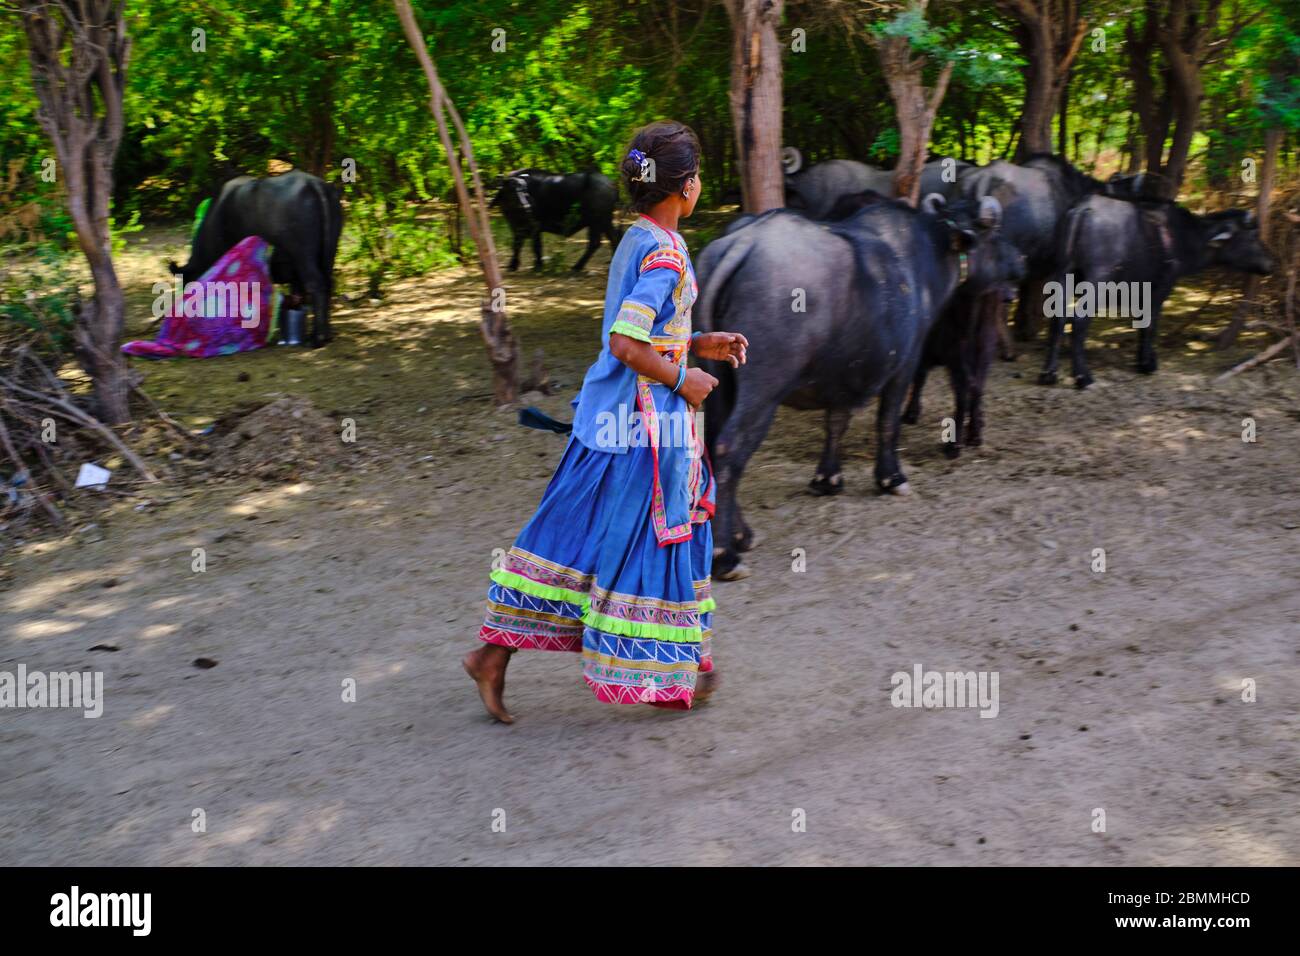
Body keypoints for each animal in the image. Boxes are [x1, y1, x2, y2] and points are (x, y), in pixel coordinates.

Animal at [170, 169, 343, 348]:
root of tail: (313, 183)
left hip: (303, 256)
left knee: (316, 285)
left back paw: (317, 339)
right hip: (327, 254)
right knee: (328, 284)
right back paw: (326, 335)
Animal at [491, 167, 624, 270]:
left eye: (524, 190)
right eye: (512, 190)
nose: (526, 207)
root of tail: (611, 185)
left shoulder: (535, 226)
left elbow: (535, 246)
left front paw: (538, 265)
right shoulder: (515, 226)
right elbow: (517, 244)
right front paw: (513, 265)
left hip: (597, 221)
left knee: (596, 242)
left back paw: (577, 266)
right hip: (604, 221)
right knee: (612, 238)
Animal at [696, 192, 1019, 574]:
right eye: (994, 235)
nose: (1020, 261)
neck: (928, 253)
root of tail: (744, 242)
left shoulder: (843, 373)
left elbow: (836, 422)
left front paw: (827, 478)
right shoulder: (905, 363)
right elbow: (888, 421)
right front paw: (892, 478)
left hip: (716, 378)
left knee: (710, 443)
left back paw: (741, 534)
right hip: (763, 391)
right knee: (728, 448)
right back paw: (725, 554)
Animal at [1040, 199, 1274, 390]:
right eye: (1252, 235)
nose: (1270, 263)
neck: (1182, 237)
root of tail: (1083, 209)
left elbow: (1142, 322)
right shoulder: (1162, 286)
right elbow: (1151, 323)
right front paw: (1147, 364)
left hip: (1062, 272)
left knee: (1058, 318)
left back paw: (1048, 374)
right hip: (1098, 279)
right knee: (1079, 320)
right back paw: (1084, 377)